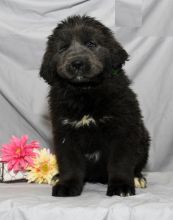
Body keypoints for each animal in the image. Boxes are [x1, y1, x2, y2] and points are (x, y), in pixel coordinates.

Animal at [38, 15, 149, 198]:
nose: (77, 63)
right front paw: (67, 185)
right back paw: (57, 176)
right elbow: (70, 164)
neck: (85, 93)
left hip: (143, 140)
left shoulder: (122, 129)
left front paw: (121, 186)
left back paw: (137, 177)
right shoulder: (65, 134)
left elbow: (120, 162)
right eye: (62, 49)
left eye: (91, 44)